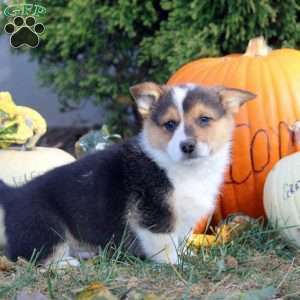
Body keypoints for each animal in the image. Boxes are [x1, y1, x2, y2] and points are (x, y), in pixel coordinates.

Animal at [0, 81, 255, 264]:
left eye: (204, 119)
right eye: (170, 124)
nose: (187, 146)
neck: (183, 169)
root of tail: (13, 195)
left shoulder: (183, 219)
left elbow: (181, 239)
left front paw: (188, 256)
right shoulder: (154, 215)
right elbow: (164, 244)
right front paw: (176, 265)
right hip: (47, 228)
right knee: (35, 258)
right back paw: (64, 265)